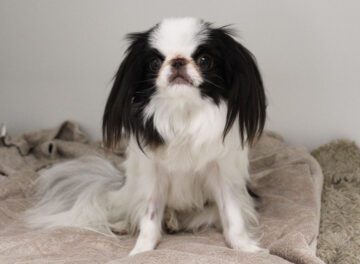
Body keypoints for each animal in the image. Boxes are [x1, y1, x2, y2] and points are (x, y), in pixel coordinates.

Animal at [26, 17, 268, 256]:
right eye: (154, 63)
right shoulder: (153, 177)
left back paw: (172, 221)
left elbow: (232, 213)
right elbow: (149, 216)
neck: (183, 112)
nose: (178, 61)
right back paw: (126, 225)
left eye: (204, 60)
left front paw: (244, 247)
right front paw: (142, 250)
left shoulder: (222, 174)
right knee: (130, 209)